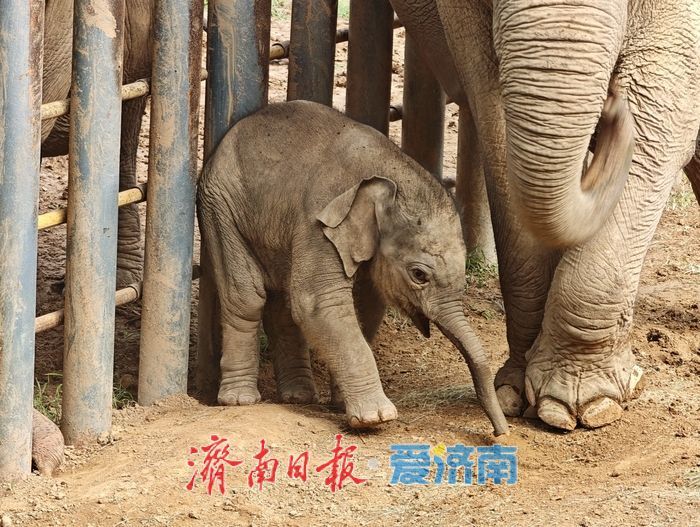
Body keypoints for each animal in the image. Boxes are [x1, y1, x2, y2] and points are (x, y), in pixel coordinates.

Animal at [197, 100, 508, 435]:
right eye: (419, 275)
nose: (500, 433)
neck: (388, 175)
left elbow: (365, 306)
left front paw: (340, 403)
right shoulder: (319, 222)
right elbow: (320, 304)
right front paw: (377, 418)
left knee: (283, 303)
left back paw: (298, 396)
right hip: (220, 207)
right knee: (247, 296)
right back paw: (240, 400)